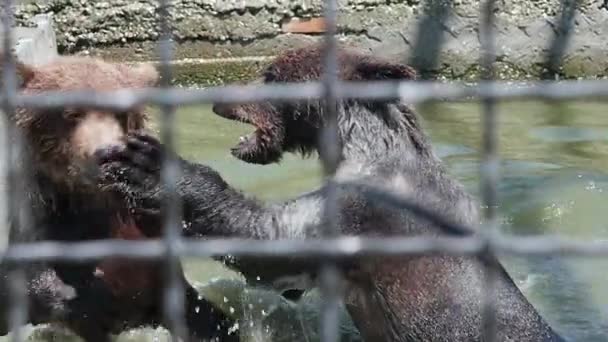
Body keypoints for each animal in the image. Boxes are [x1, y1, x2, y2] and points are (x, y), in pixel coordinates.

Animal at [98, 44, 564, 342]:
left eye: (271, 73)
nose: (219, 98)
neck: (362, 148)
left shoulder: (358, 214)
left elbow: (266, 241)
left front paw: (151, 168)